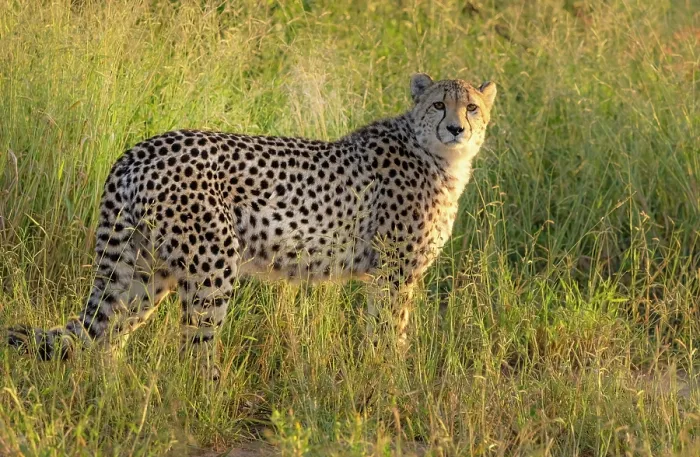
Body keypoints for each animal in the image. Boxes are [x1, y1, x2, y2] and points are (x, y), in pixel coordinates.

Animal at [7, 73, 497, 379]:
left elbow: (381, 331)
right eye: (439, 104)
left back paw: (115, 396)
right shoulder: (395, 273)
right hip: (212, 263)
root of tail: (140, 148)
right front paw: (394, 380)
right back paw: (208, 400)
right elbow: (392, 332)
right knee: (193, 347)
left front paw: (382, 376)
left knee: (107, 335)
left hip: (147, 269)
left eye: (472, 107)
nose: (456, 128)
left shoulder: (384, 275)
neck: (438, 157)